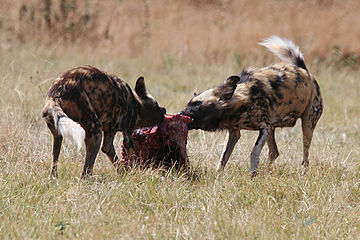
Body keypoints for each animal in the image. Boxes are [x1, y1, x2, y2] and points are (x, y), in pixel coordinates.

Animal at [180, 35, 324, 176]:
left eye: (197, 104)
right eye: (188, 103)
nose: (181, 113)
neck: (241, 100)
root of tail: (304, 71)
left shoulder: (264, 127)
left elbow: (254, 152)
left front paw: (253, 174)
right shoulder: (235, 132)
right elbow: (223, 157)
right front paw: (218, 175)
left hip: (307, 125)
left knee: (305, 156)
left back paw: (302, 172)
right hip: (273, 128)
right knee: (274, 152)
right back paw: (266, 171)